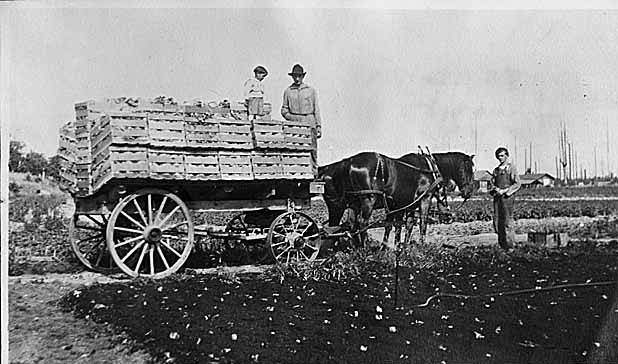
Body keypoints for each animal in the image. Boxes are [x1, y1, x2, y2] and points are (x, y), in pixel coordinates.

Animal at [320, 151, 474, 247]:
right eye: (468, 169)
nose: (468, 192)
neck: (430, 168)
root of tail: (348, 162)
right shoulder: (425, 198)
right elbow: (422, 222)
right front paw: (421, 244)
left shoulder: (405, 204)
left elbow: (404, 224)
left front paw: (400, 246)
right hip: (367, 199)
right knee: (362, 223)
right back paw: (364, 248)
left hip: (353, 201)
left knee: (350, 224)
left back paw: (353, 247)